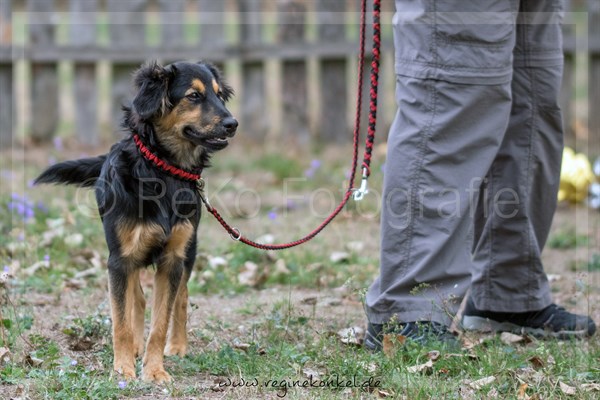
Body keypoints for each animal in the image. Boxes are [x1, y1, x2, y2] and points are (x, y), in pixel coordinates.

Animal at [34, 61, 237, 382]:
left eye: (219, 95)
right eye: (193, 95)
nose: (233, 123)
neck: (162, 171)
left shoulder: (172, 258)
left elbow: (161, 321)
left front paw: (154, 370)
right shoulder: (119, 259)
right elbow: (121, 320)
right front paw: (123, 366)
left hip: (189, 250)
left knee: (181, 297)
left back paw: (177, 345)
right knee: (137, 300)